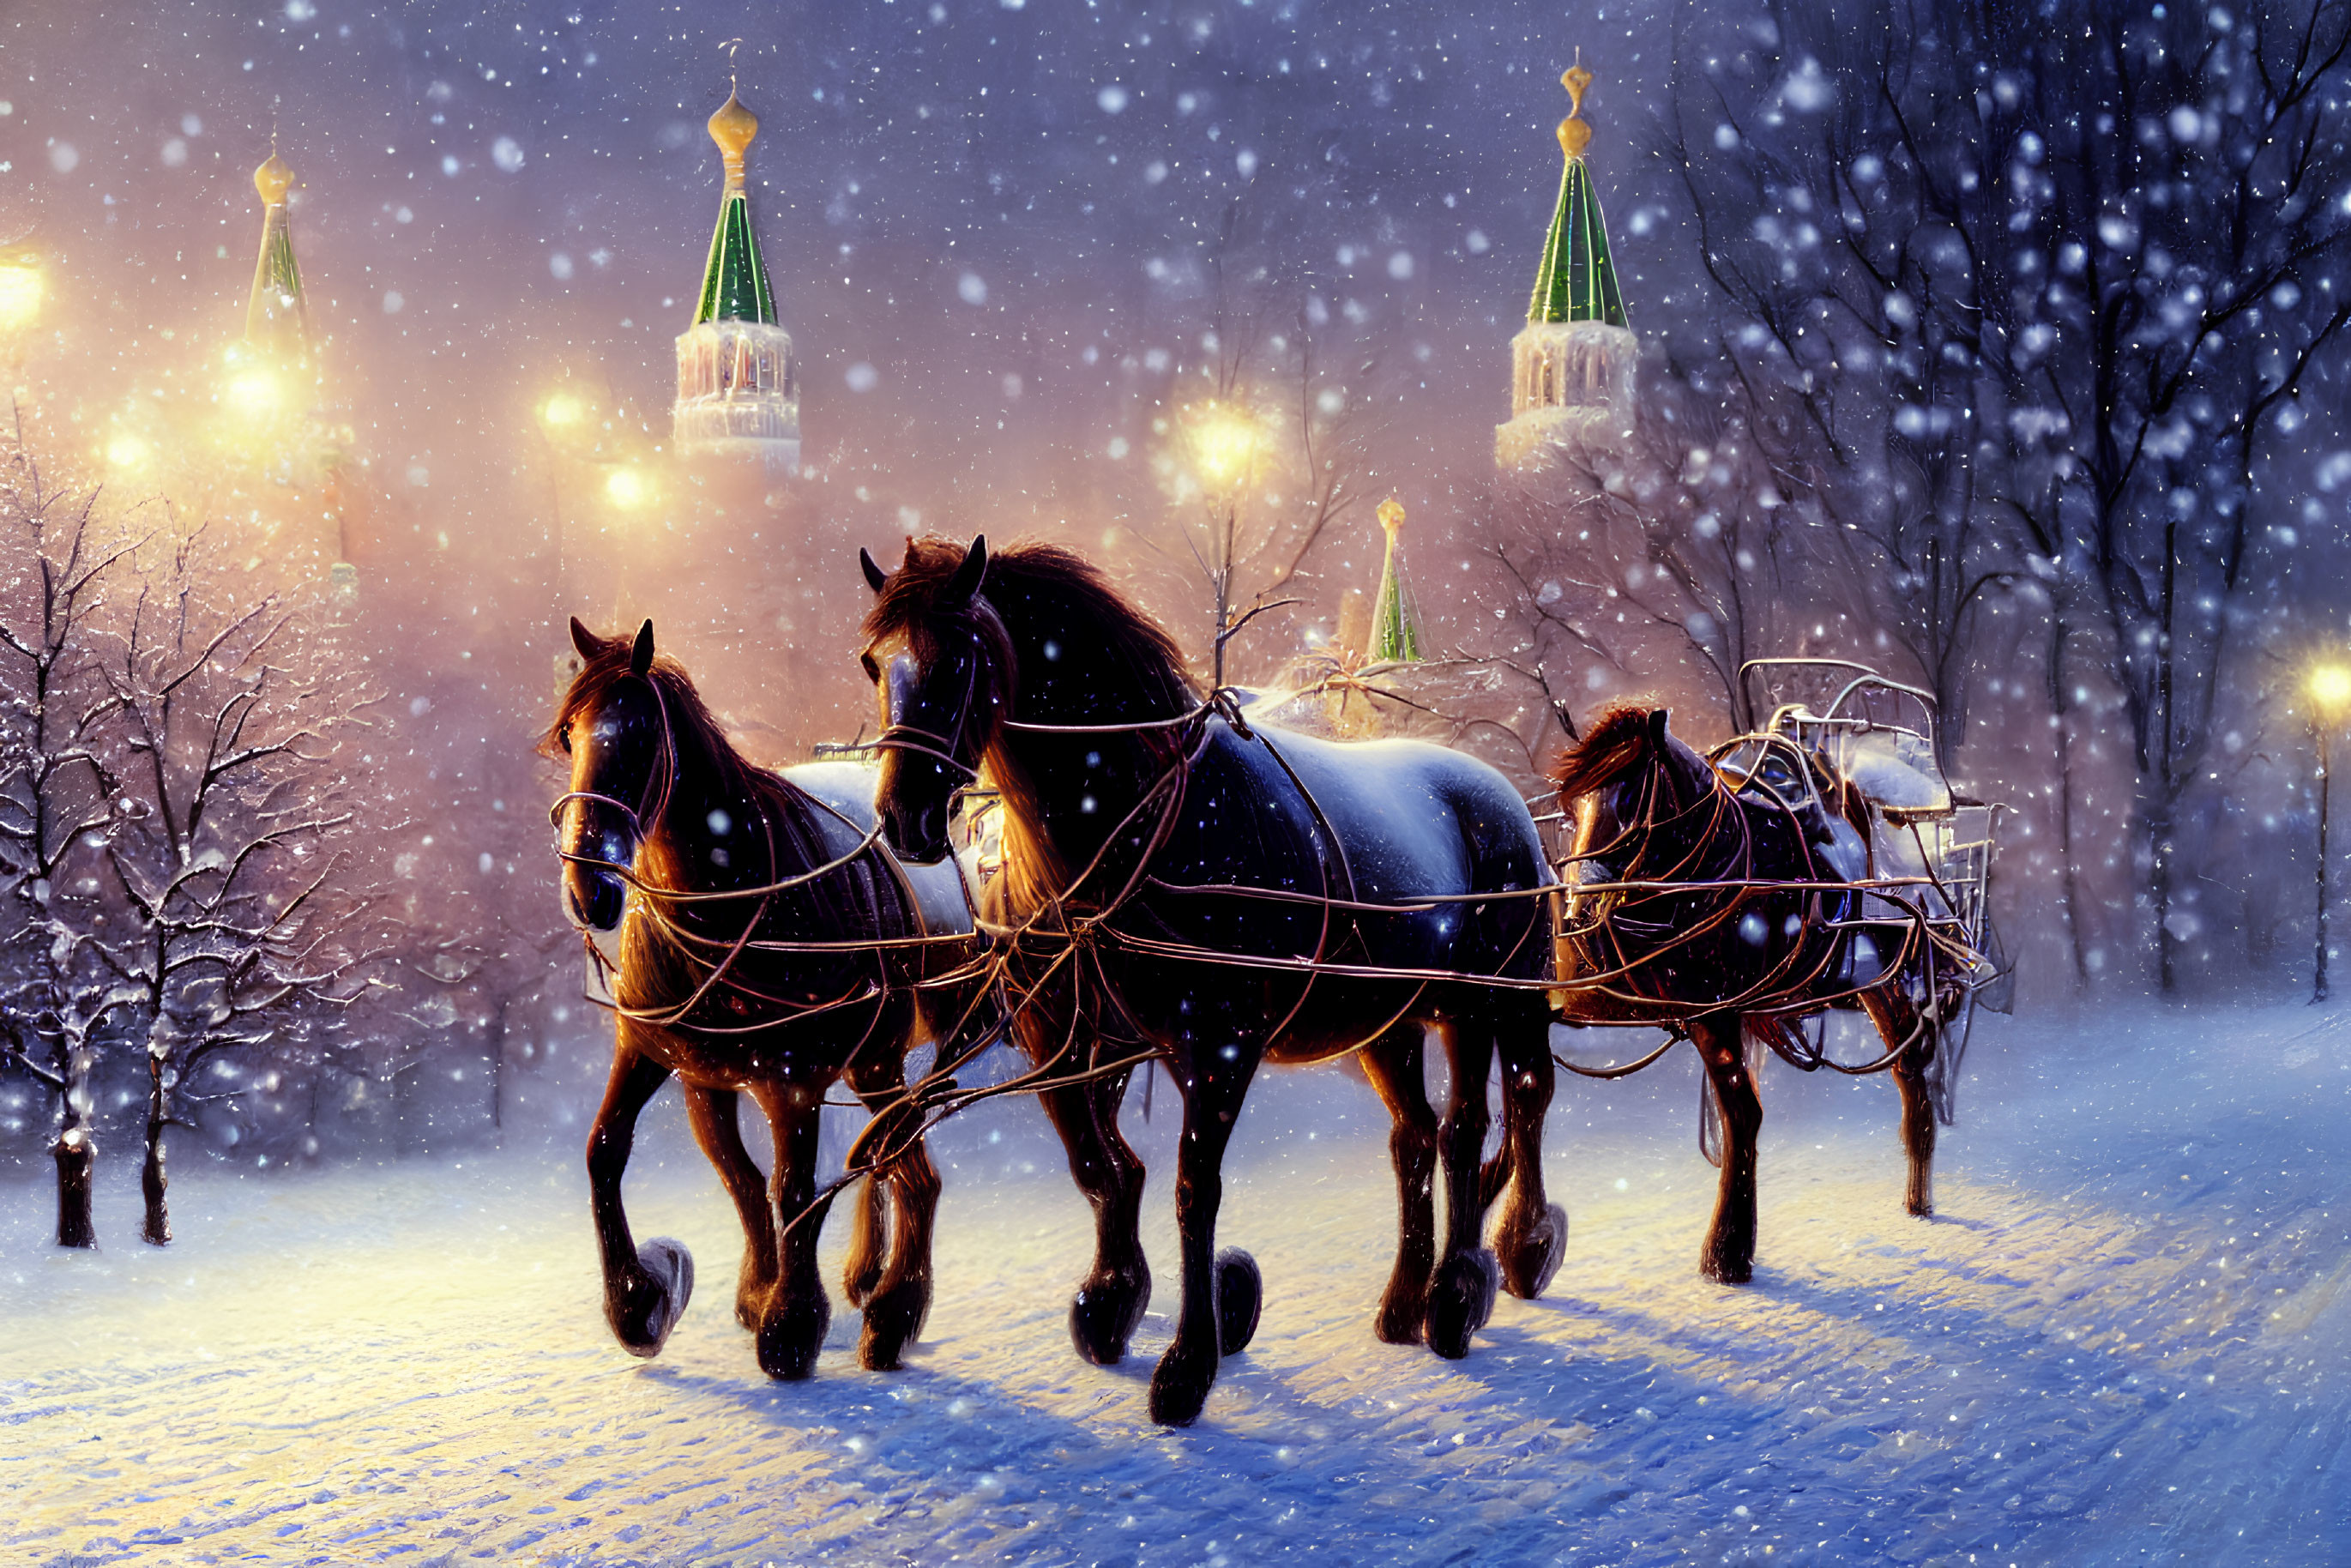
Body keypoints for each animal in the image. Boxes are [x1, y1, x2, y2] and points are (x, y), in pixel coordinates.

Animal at [545, 620, 987, 1382]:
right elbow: (659, 1162)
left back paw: (893, 1314)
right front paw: (645, 1305)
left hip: (894, 1059)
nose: (588, 890)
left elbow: (791, 1189)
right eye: (571, 736)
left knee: (913, 1174)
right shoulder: (677, 1067)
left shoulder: (794, 1080)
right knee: (889, 1163)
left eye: (639, 735)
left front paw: (790, 1326)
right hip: (870, 1065)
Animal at [855, 534, 1570, 1429]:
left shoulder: (1216, 1045)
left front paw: (1187, 1364)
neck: (1128, 829)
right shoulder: (1069, 1041)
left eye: (960, 658)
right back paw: (1406, 1299)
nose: (903, 818)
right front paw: (1112, 1301)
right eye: (873, 663)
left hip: (1480, 1002)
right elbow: (1101, 1170)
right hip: (1388, 1023)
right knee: (1415, 1136)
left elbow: (1194, 1190)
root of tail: (1497, 794)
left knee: (1488, 1120)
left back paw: (1473, 1281)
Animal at [1552, 709, 1956, 1288]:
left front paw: (1726, 1253)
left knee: (1909, 1067)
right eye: (1571, 808)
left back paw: (1919, 1188)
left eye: (1631, 799)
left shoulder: (1722, 1010)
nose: (1579, 913)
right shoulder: (1702, 1012)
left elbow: (1743, 1113)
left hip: (1882, 978)